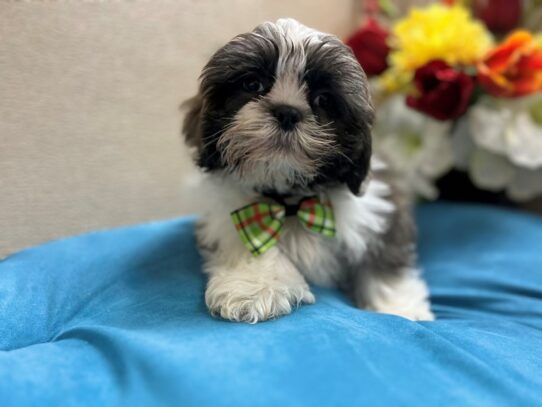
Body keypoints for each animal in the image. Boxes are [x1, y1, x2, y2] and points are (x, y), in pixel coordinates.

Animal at [182, 19, 434, 326]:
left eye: (323, 100)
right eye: (253, 84)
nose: (287, 111)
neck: (292, 202)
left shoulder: (380, 212)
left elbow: (384, 264)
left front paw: (398, 308)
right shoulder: (231, 220)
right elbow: (254, 250)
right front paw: (253, 287)